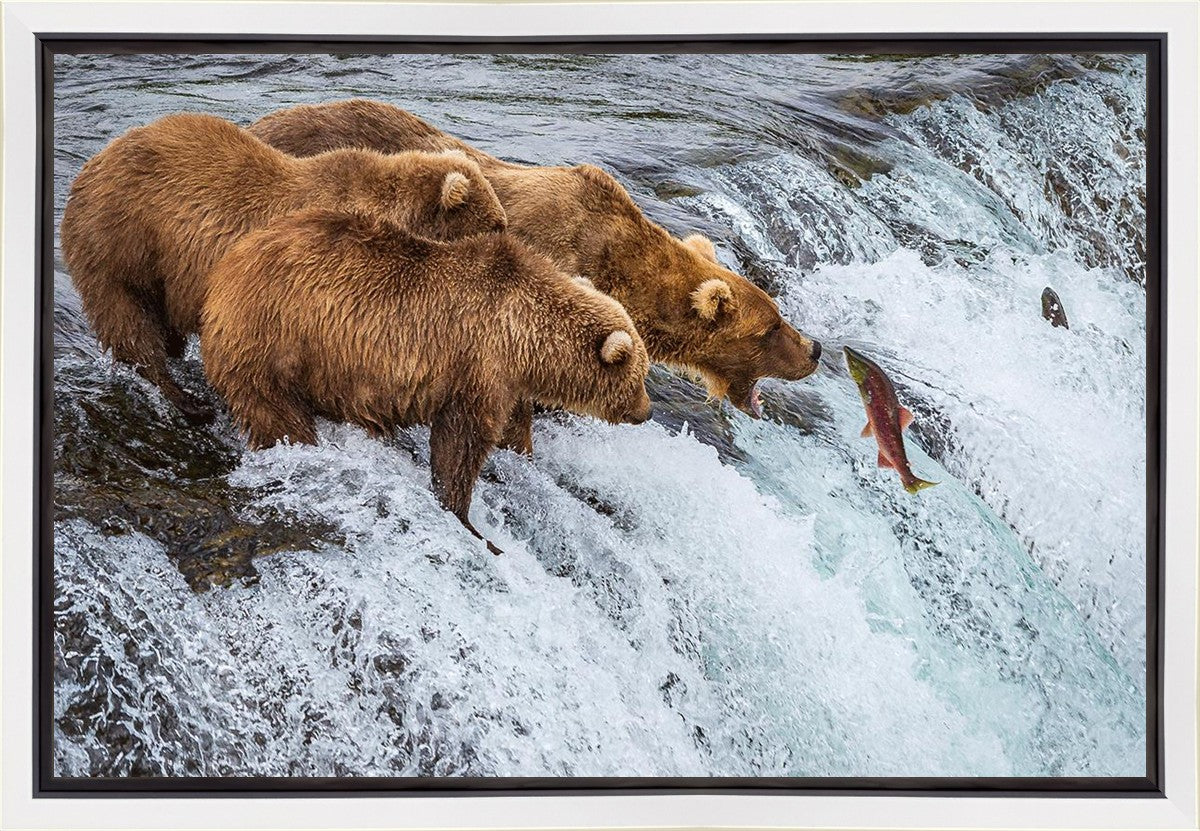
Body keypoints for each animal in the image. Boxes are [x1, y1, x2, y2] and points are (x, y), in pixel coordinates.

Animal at [60, 112, 507, 424]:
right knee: (129, 321)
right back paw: (186, 400)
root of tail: (92, 163)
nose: (509, 238)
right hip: (121, 241)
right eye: (496, 224)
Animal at [200, 207, 652, 555]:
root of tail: (225, 269)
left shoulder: (506, 381)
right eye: (640, 376)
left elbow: (511, 429)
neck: (524, 336)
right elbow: (461, 443)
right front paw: (470, 522)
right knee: (276, 413)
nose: (646, 412)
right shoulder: (477, 364)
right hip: (274, 340)